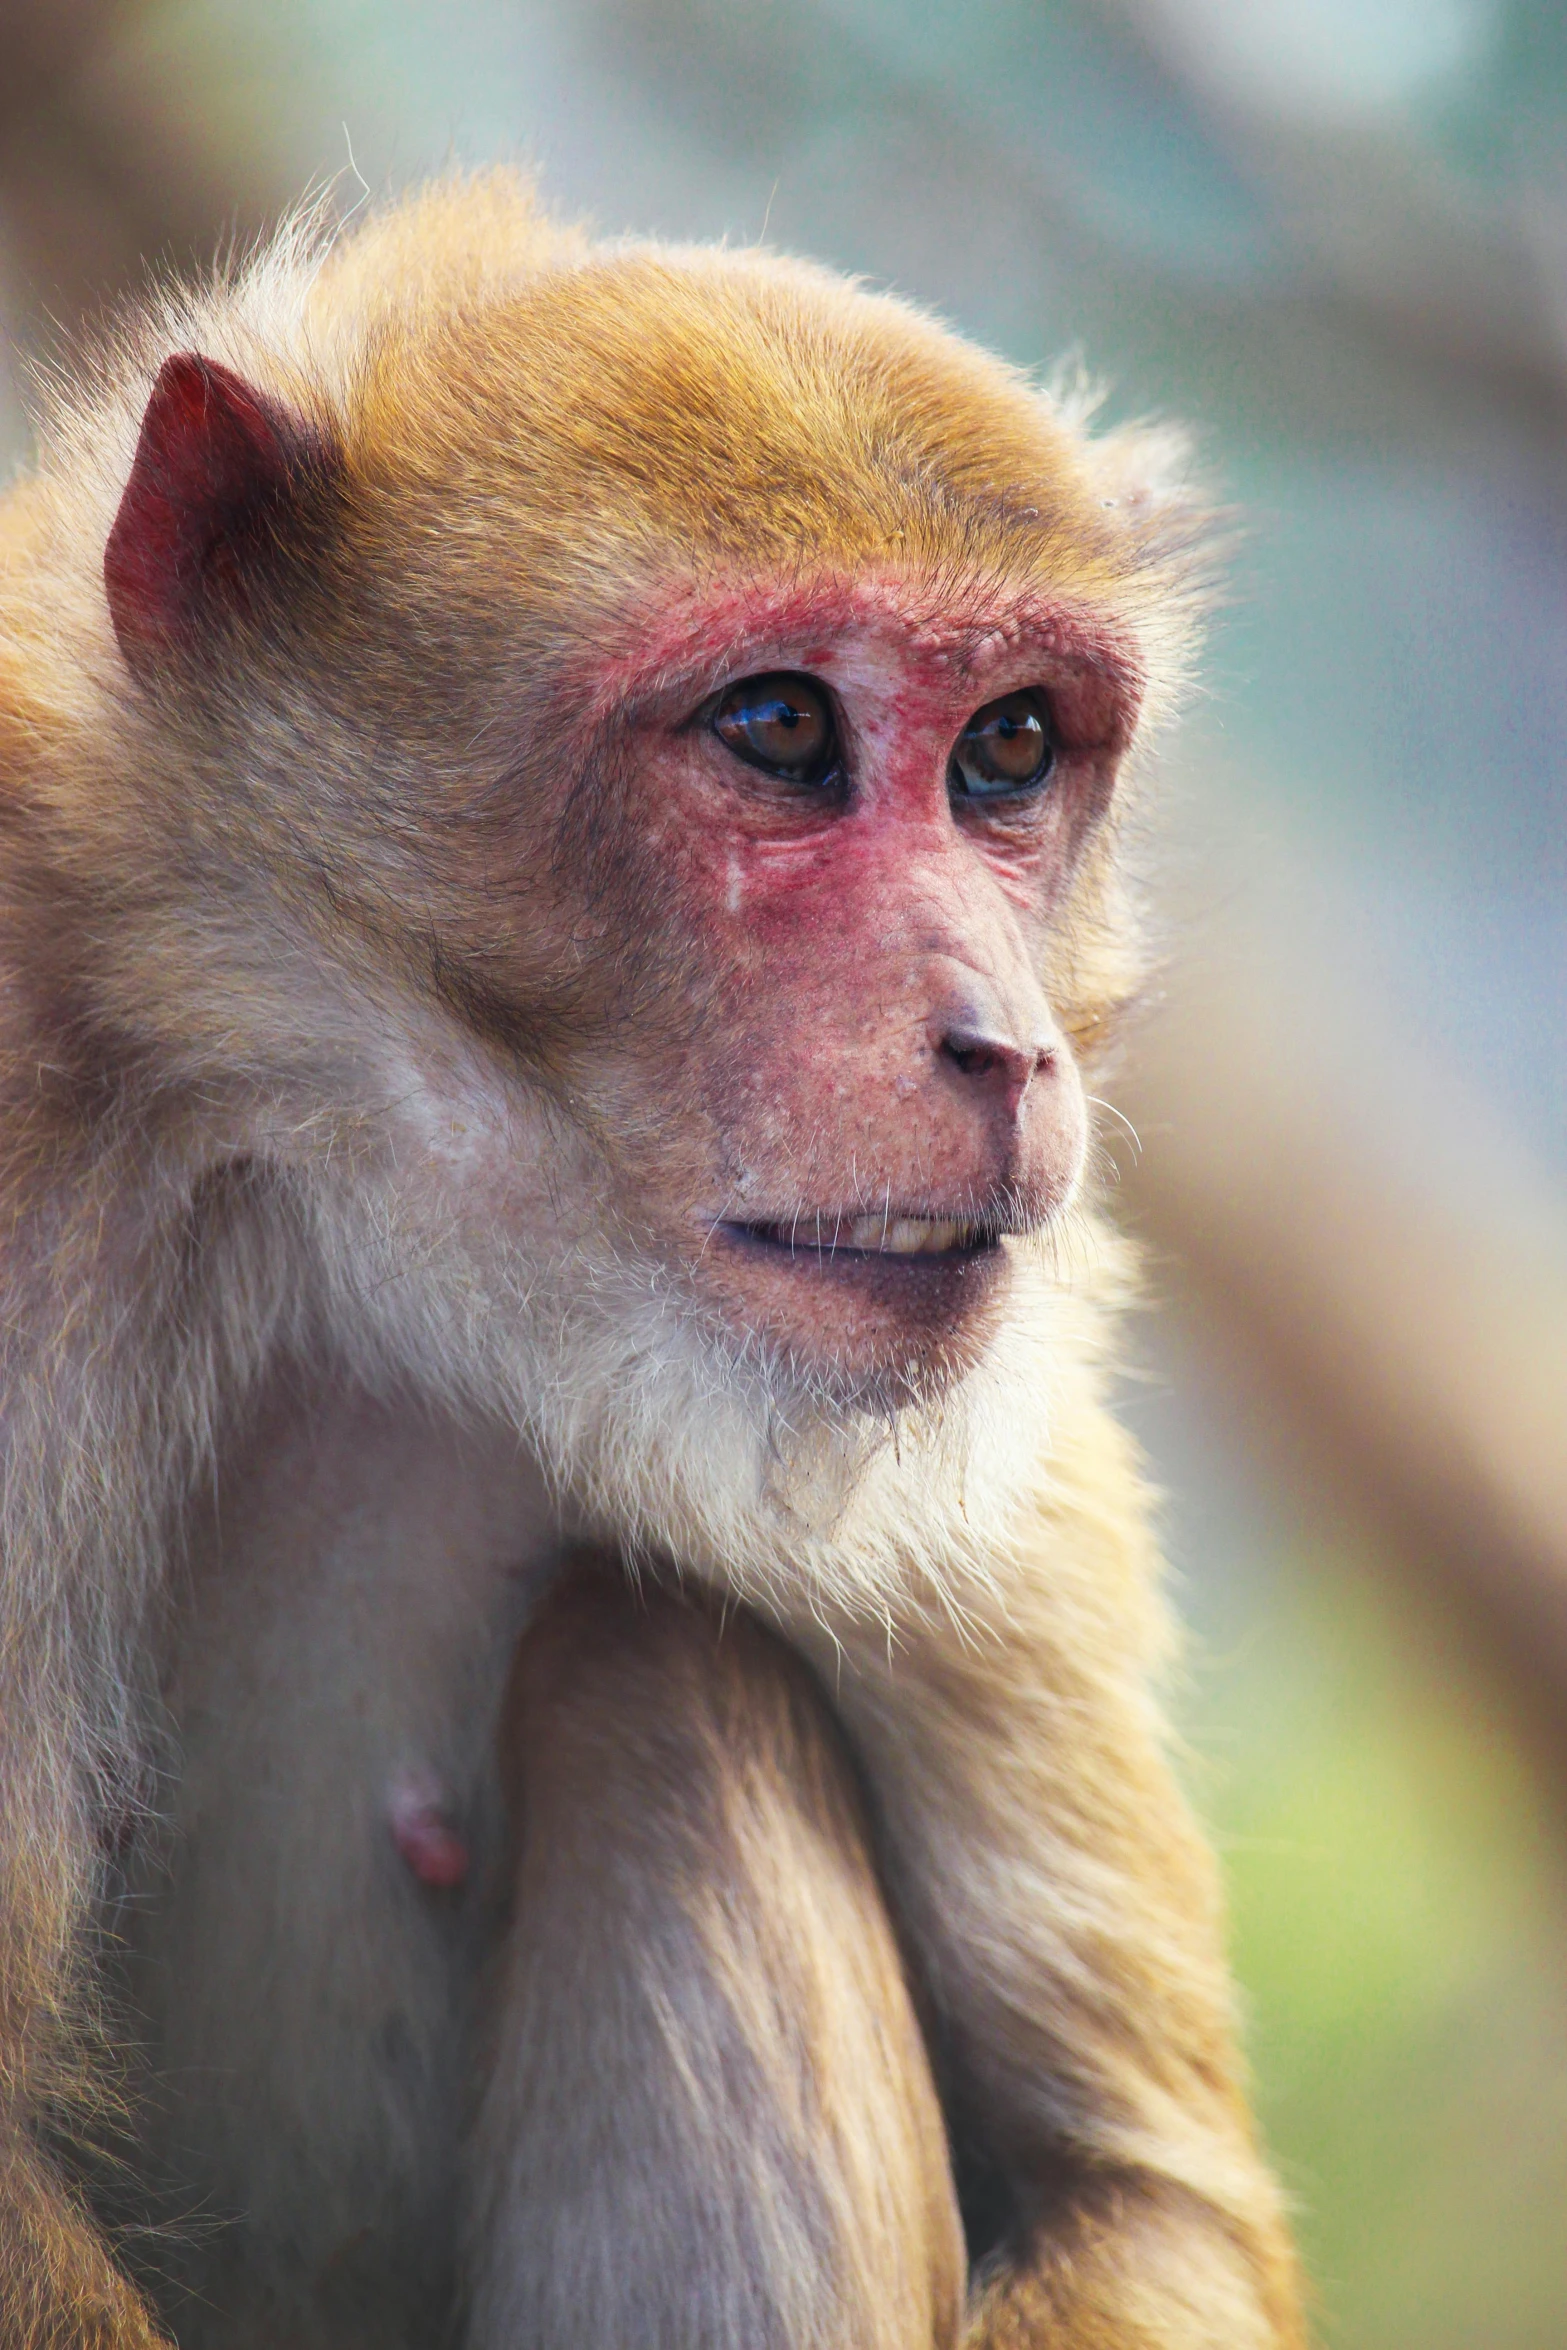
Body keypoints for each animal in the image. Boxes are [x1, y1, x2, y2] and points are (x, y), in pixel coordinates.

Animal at [0, 173, 1306, 2340]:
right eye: (776, 725)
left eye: (1008, 747)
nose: (1005, 1046)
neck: (373, 1206)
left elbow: (1141, 2185)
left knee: (661, 1665)